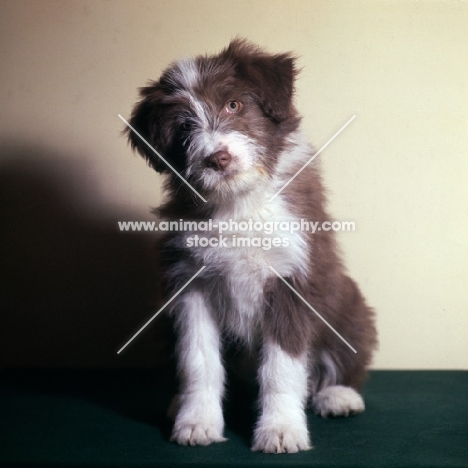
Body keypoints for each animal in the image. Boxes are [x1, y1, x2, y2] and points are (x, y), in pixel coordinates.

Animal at [125, 39, 376, 454]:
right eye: (183, 126)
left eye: (233, 105)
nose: (218, 158)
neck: (238, 203)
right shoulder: (189, 282)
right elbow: (198, 360)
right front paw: (196, 422)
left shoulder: (291, 278)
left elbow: (281, 366)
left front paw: (281, 430)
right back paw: (177, 403)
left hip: (352, 307)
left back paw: (338, 395)